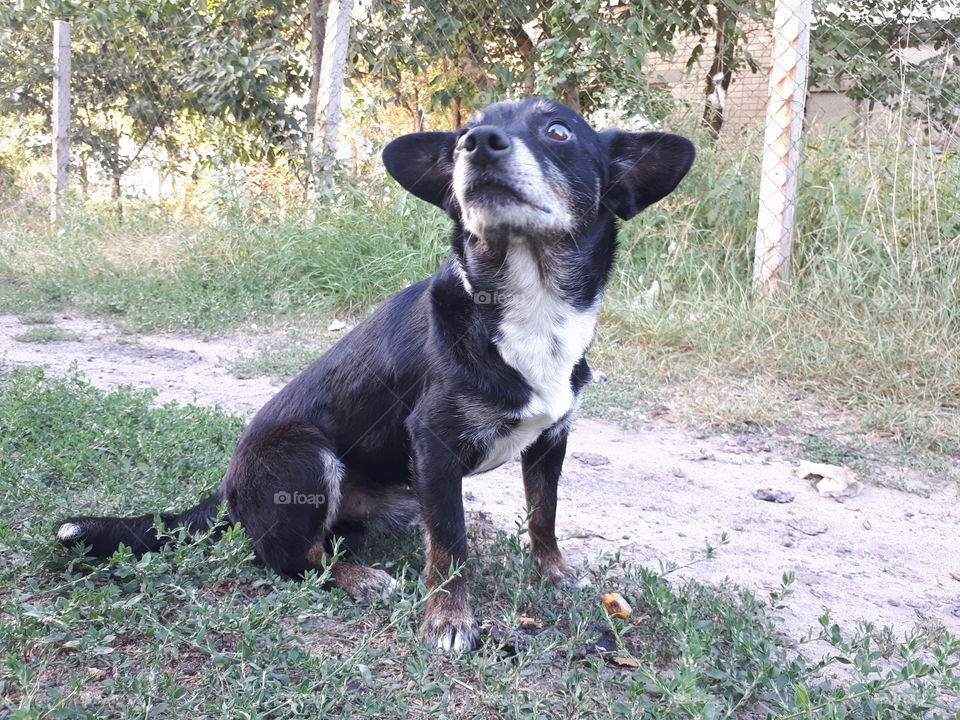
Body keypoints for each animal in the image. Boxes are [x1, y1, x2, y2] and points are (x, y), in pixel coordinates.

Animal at [58, 98, 688, 656]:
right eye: (465, 133)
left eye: (558, 131)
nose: (477, 144)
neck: (529, 309)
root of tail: (225, 492)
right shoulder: (434, 444)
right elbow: (451, 546)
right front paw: (449, 620)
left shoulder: (550, 440)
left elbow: (544, 516)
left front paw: (553, 573)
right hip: (304, 456)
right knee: (289, 559)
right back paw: (359, 578)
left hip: (400, 494)